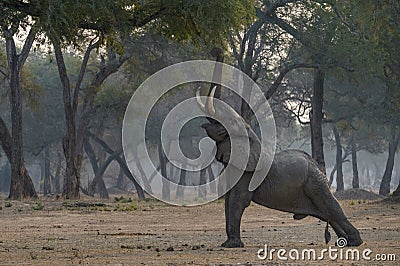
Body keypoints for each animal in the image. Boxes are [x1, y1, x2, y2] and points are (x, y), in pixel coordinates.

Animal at [195, 86, 364, 248]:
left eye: (229, 124)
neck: (252, 139)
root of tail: (314, 163)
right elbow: (228, 200)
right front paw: (228, 244)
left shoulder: (247, 172)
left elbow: (238, 200)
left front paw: (232, 245)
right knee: (326, 213)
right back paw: (344, 242)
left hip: (315, 182)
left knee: (331, 207)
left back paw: (355, 242)